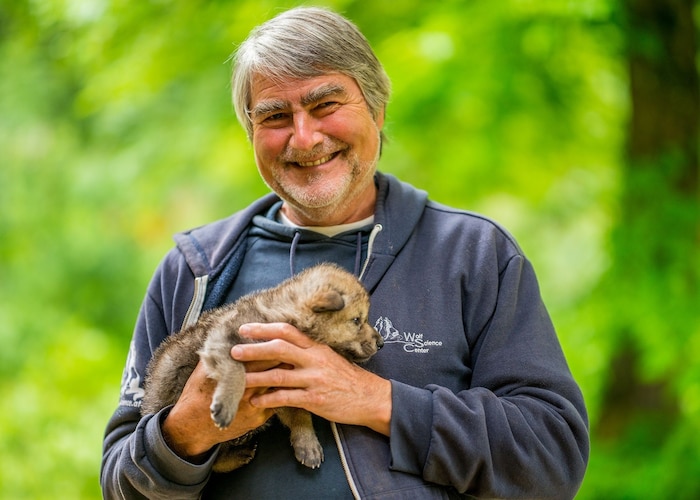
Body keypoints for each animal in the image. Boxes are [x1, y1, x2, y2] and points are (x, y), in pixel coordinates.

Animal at [141, 263, 383, 472]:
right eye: (357, 320)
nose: (381, 343)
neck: (283, 314)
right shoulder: (227, 338)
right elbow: (235, 372)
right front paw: (226, 403)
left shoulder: (284, 386)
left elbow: (300, 414)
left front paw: (307, 443)